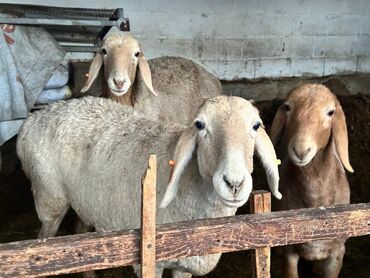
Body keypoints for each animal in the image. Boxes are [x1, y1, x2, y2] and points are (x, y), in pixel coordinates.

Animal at [17, 95, 282, 276]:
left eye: (256, 126)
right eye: (200, 125)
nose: (234, 183)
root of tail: (36, 117)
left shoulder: (184, 264)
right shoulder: (149, 261)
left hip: (86, 201)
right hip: (49, 198)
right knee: (44, 243)